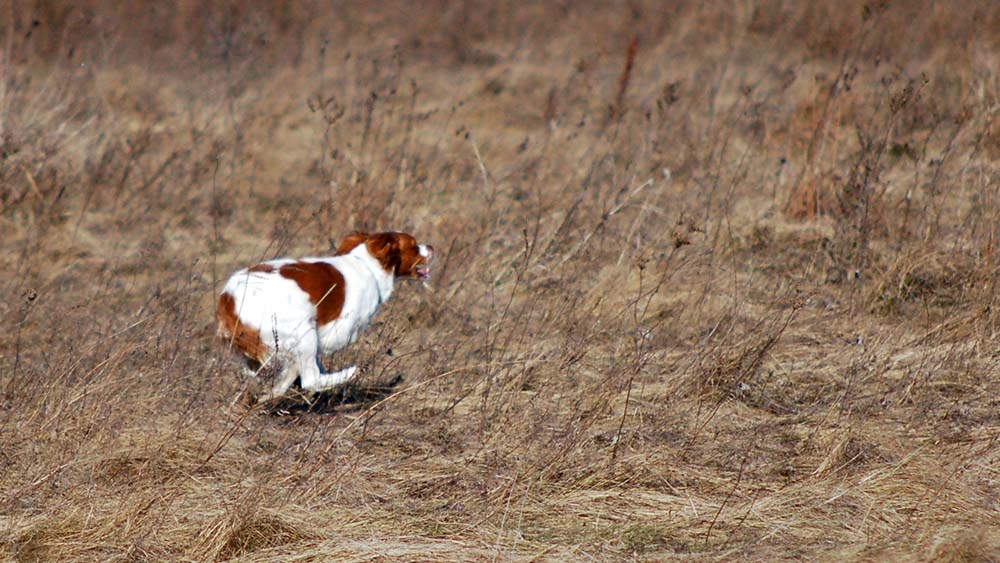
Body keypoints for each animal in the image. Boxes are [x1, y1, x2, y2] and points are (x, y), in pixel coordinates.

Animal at [217, 231, 432, 404]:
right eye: (414, 245)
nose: (431, 247)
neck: (367, 264)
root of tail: (229, 299)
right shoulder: (336, 332)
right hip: (303, 332)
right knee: (312, 379)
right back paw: (350, 372)